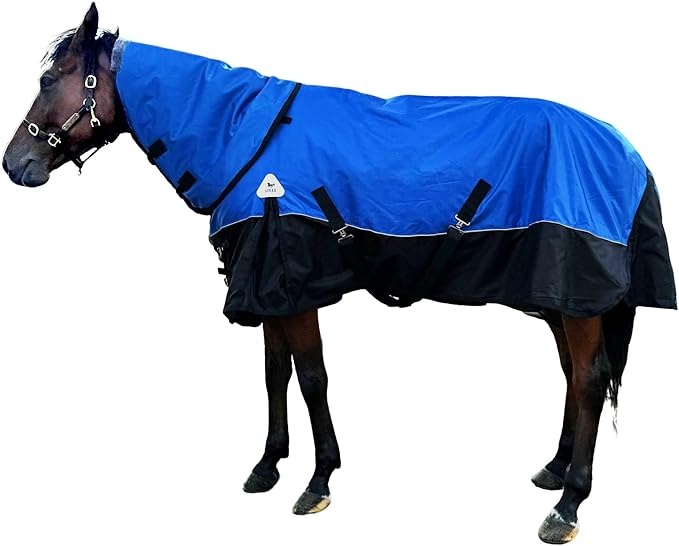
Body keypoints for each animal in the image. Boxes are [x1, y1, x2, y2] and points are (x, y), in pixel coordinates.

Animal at [3, 4, 676, 543]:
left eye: (49, 79)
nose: (15, 164)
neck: (248, 140)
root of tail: (629, 151)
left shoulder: (295, 289)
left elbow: (312, 379)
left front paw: (318, 479)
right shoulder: (270, 292)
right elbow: (275, 376)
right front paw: (267, 466)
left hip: (578, 300)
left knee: (588, 380)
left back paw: (569, 503)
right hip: (563, 302)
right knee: (572, 376)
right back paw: (555, 470)